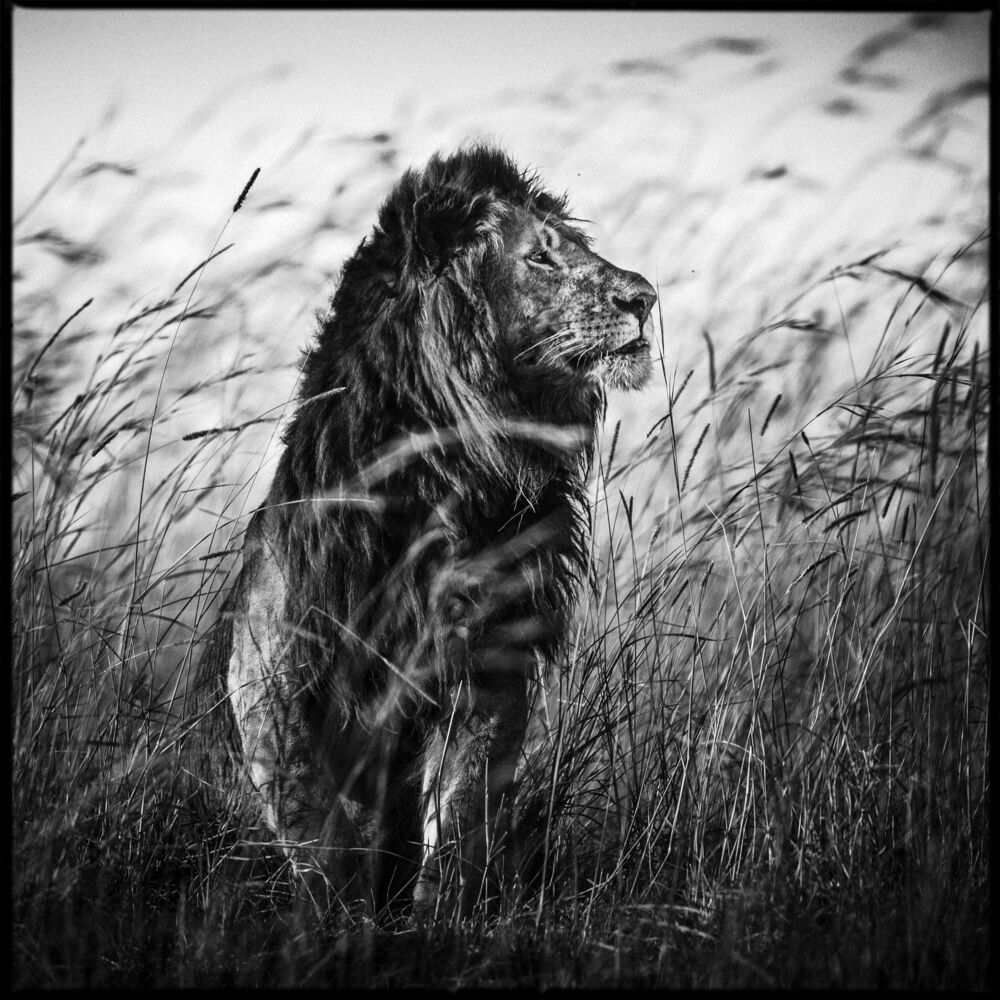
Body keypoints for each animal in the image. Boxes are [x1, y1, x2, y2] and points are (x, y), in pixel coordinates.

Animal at [199, 144, 656, 920]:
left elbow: (461, 811)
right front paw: (336, 921)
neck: (452, 476)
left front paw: (436, 918)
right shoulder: (276, 669)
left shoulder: (490, 663)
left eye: (578, 246)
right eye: (542, 256)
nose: (646, 297)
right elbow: (316, 820)